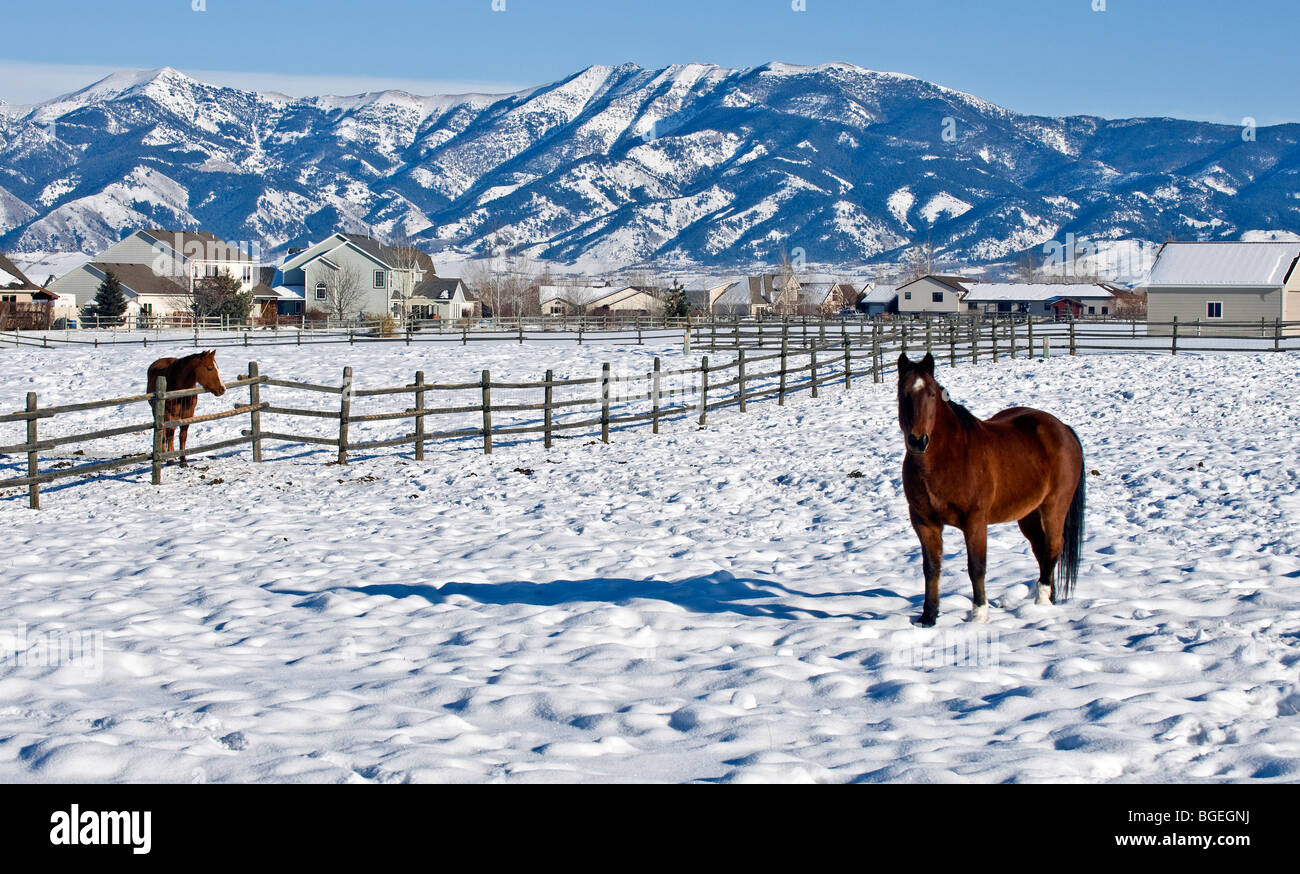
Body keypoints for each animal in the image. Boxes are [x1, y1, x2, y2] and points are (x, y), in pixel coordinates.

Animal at [894, 351, 1086, 624]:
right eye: (903, 394)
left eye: (931, 393)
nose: (918, 441)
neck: (948, 457)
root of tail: (1063, 429)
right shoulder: (924, 521)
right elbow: (931, 567)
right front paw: (928, 617)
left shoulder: (975, 520)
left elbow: (976, 567)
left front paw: (979, 614)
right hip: (1028, 514)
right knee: (1041, 550)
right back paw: (1050, 598)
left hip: (1054, 506)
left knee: (1052, 547)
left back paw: (1042, 602)